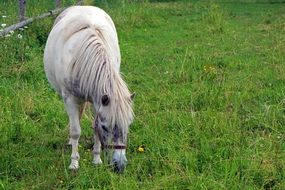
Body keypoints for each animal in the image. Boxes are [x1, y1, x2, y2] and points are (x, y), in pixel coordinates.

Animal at [43, 6, 134, 172]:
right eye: (106, 127)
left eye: (128, 124)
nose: (119, 165)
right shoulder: (70, 98)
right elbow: (75, 131)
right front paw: (74, 163)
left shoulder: (97, 100)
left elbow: (94, 128)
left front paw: (96, 159)